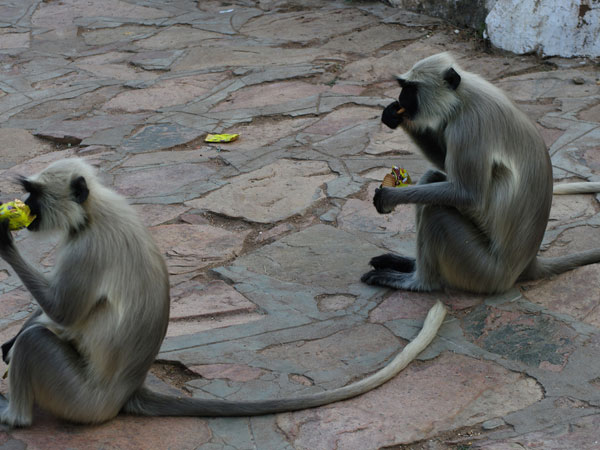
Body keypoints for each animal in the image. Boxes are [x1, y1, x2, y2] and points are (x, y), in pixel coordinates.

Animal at [0, 157, 446, 426]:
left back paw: (13, 417)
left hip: (83, 402)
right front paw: (10, 336)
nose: (23, 204)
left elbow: (63, 312)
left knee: (38, 343)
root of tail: (128, 390)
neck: (93, 211)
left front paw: (3, 241)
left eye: (34, 194)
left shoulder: (86, 249)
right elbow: (53, 315)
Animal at [360, 51, 600, 296]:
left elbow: (469, 194)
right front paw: (395, 116)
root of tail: (527, 263)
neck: (463, 94)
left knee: (435, 211)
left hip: (482, 270)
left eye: (410, 88)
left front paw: (388, 196)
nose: (401, 97)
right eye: (404, 88)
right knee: (432, 179)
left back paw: (419, 282)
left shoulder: (469, 124)